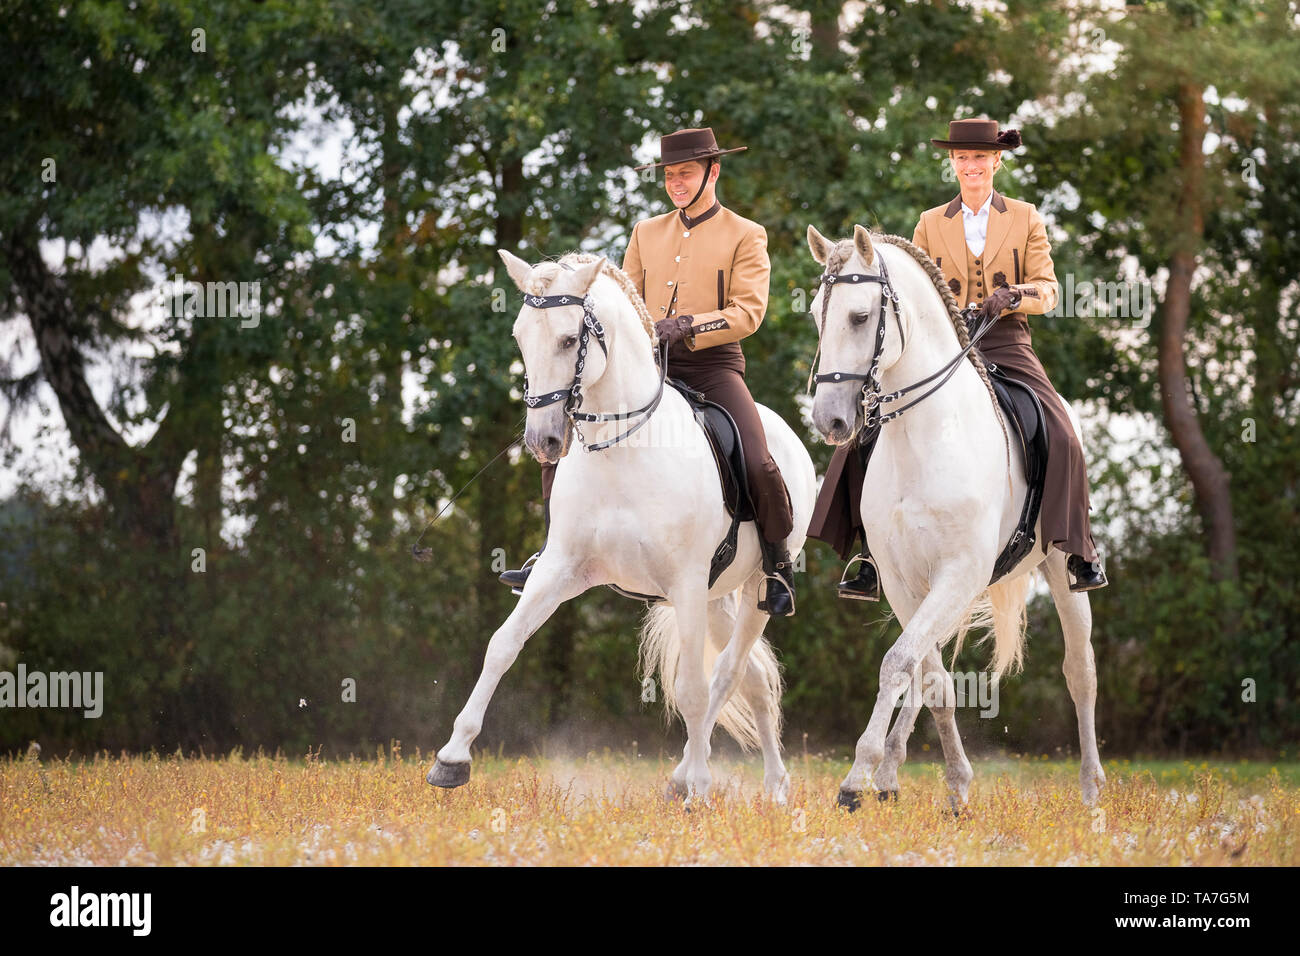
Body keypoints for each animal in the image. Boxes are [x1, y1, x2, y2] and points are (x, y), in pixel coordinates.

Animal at [425, 250, 818, 804]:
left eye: (570, 340)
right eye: (520, 336)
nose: (542, 441)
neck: (624, 447)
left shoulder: (686, 582)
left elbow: (693, 689)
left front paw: (700, 789)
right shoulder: (562, 569)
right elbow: (502, 645)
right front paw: (452, 759)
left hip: (752, 590)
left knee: (727, 673)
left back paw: (714, 780)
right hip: (715, 598)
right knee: (755, 679)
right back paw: (757, 783)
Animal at [805, 224, 1105, 811]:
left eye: (859, 316)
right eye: (813, 315)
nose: (830, 421)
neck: (923, 437)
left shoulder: (958, 572)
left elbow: (899, 664)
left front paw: (856, 778)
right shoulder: (906, 581)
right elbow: (928, 677)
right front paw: (952, 784)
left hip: (1060, 572)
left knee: (1080, 672)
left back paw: (1090, 788)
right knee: (931, 663)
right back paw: (893, 774)